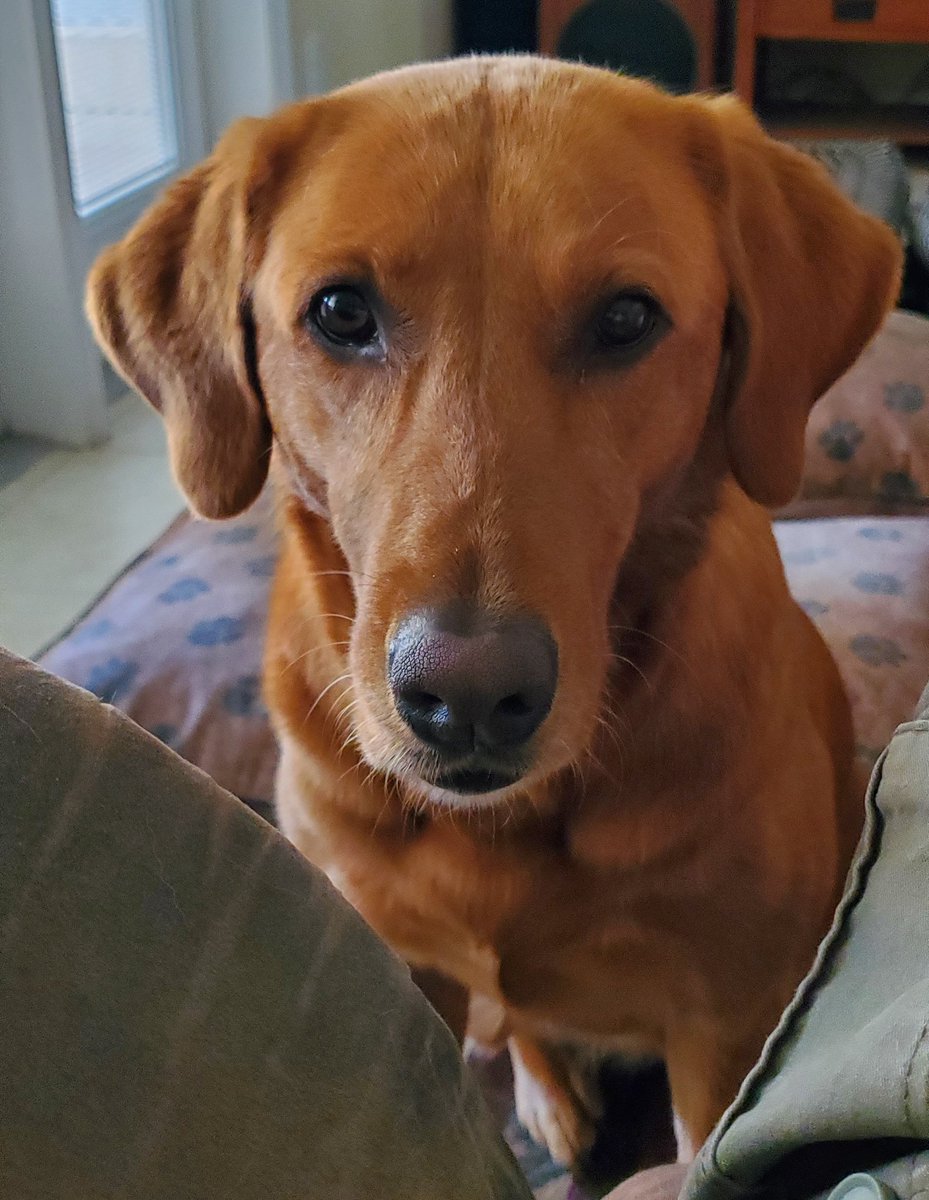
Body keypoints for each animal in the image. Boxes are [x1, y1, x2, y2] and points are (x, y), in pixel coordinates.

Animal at [87, 58, 902, 1171]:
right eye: (340, 312)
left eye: (625, 319)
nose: (465, 696)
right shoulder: (388, 976)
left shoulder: (727, 1022)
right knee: (515, 1023)